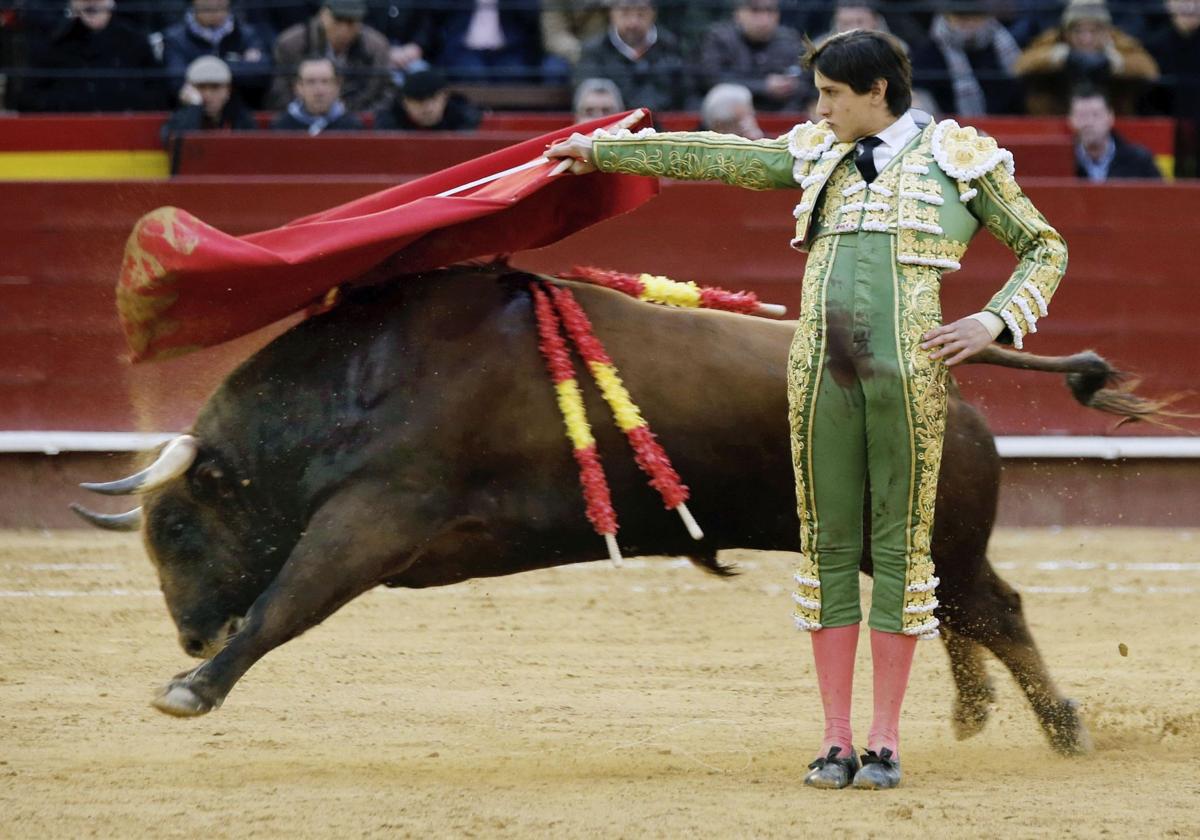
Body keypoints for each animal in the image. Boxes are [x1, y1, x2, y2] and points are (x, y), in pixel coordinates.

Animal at [72, 265, 1161, 753]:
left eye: (177, 527)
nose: (186, 635)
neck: (365, 382)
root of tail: (948, 362)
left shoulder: (373, 519)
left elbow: (282, 606)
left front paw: (192, 691)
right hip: (909, 538)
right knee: (954, 611)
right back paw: (975, 715)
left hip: (937, 533)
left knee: (993, 610)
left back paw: (1062, 727)